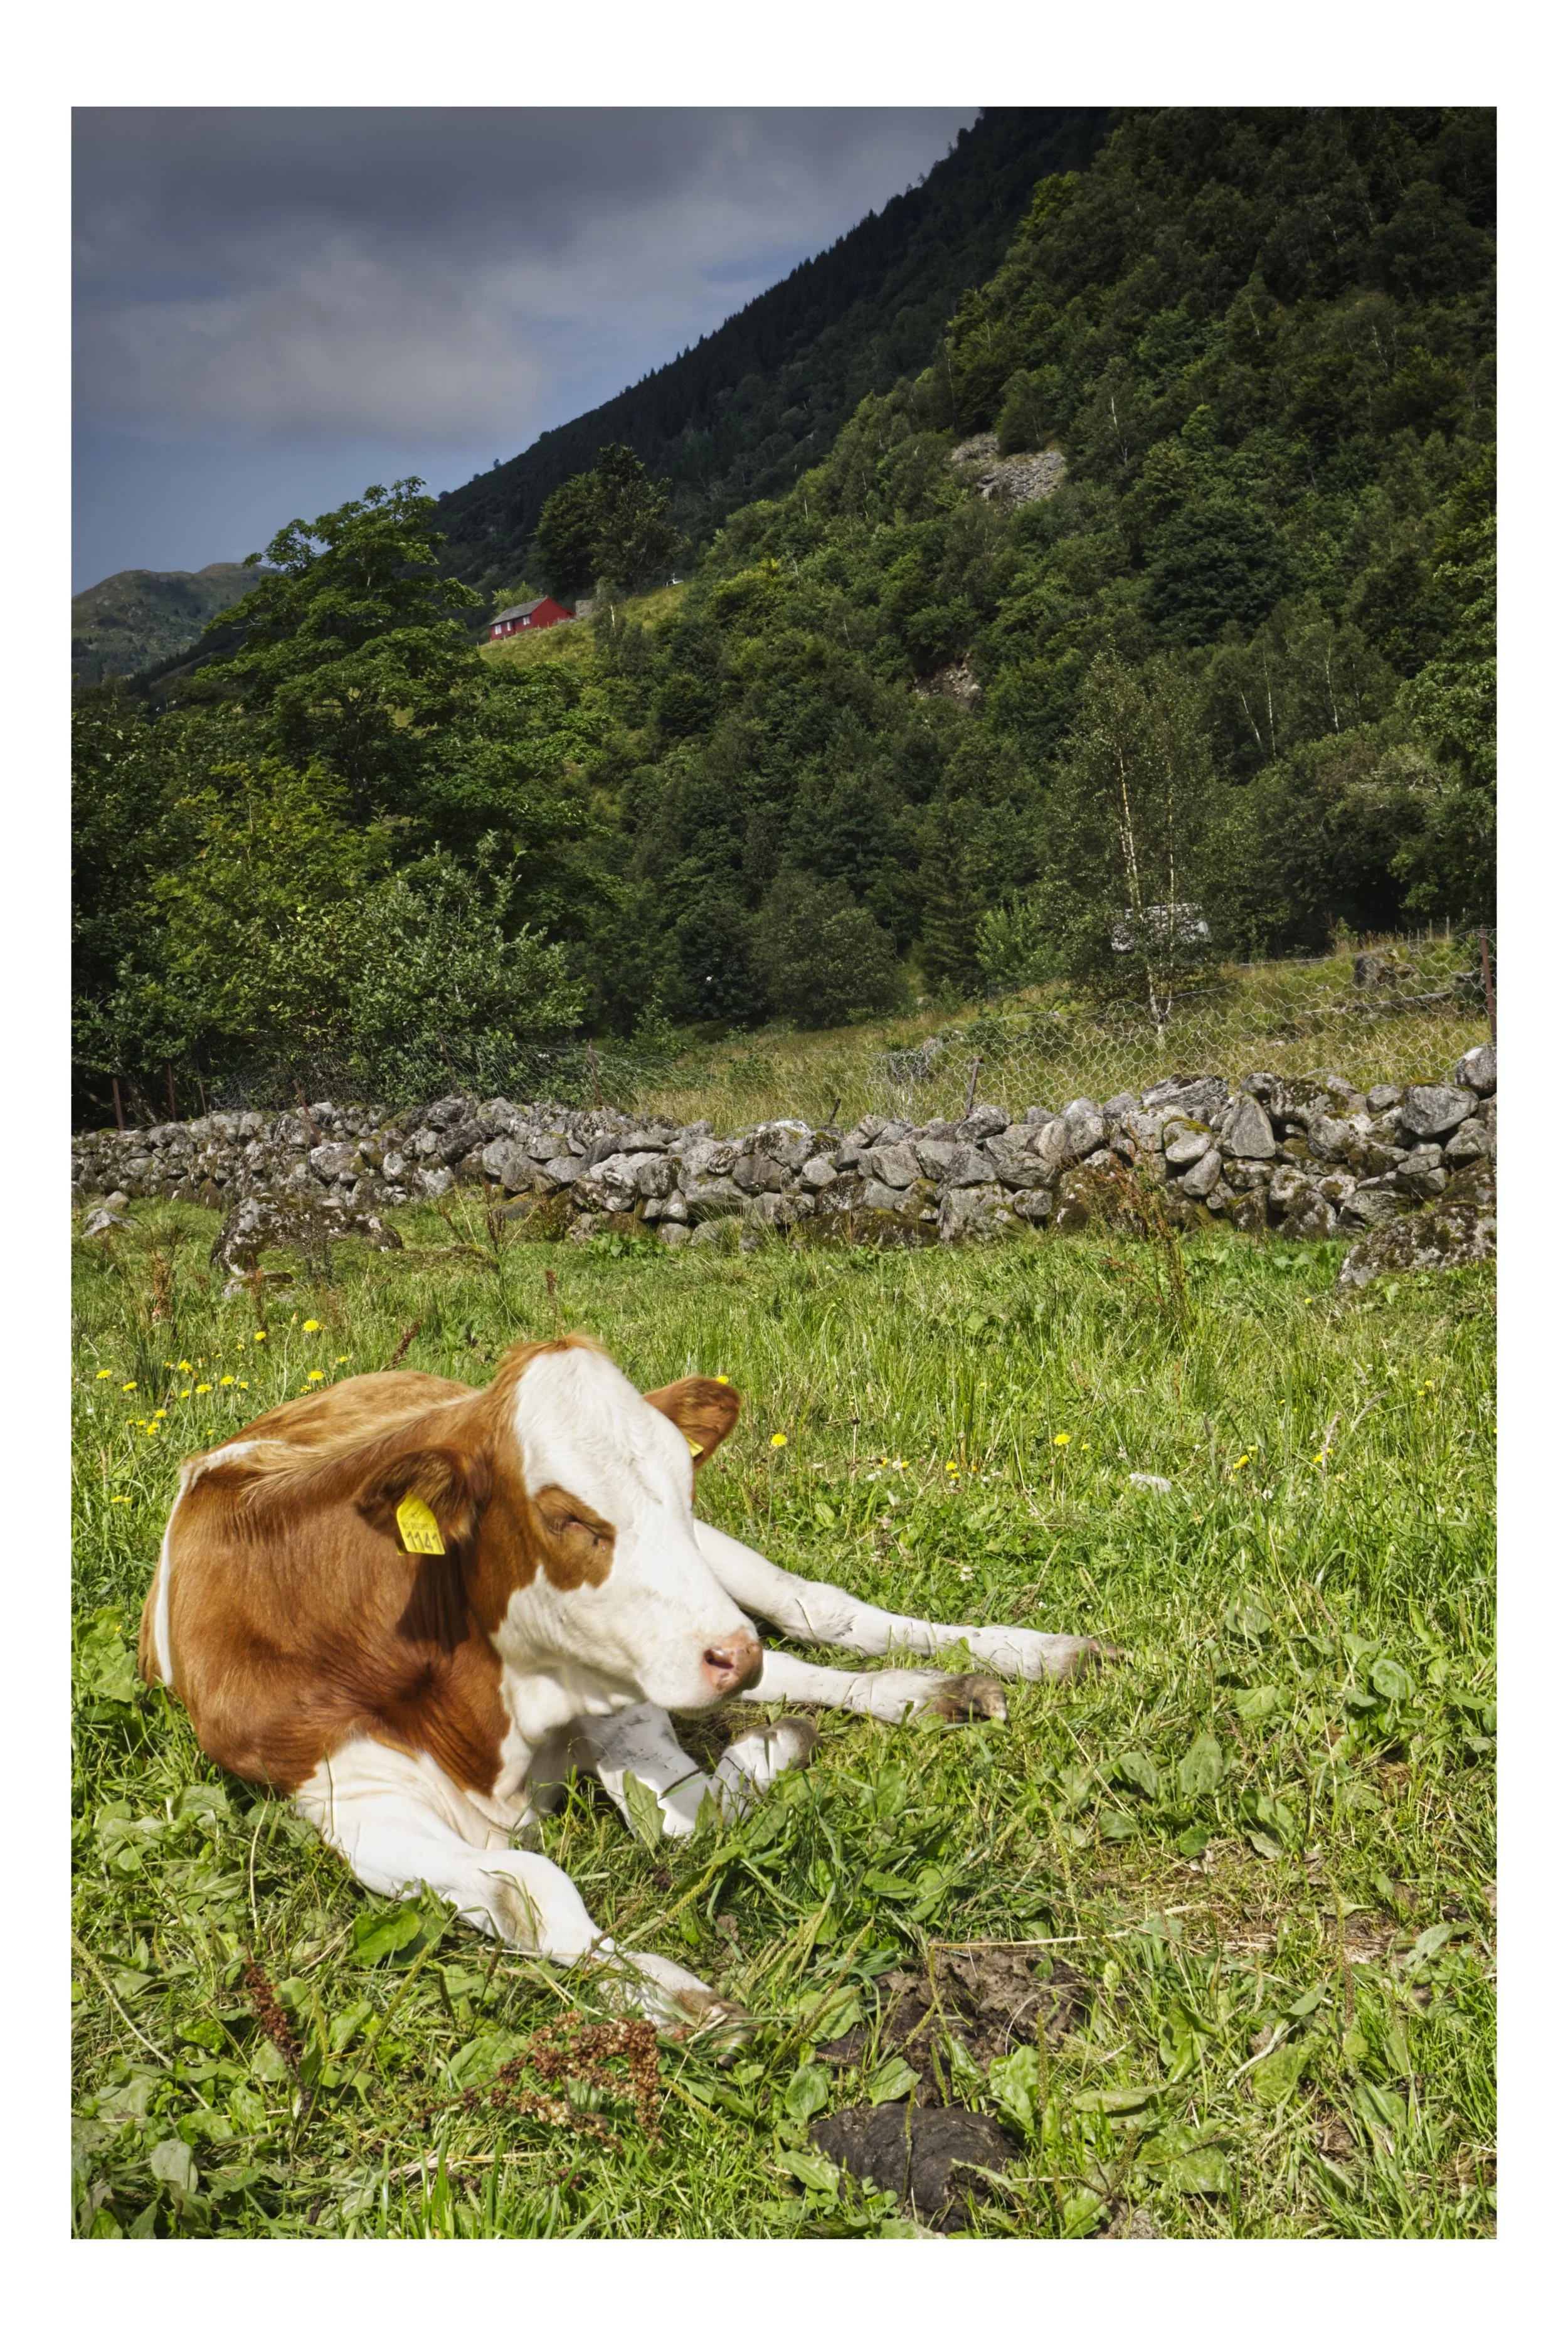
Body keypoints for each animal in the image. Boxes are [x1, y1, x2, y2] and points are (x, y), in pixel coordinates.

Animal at [140, 1335, 1105, 2035]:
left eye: (683, 1485)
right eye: (568, 1516)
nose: (730, 1654)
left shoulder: (627, 1688)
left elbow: (689, 1814)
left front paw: (770, 1753)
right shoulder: (349, 1797)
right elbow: (528, 1889)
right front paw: (664, 1994)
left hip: (712, 1584)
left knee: (816, 1613)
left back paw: (1018, 1656)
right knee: (790, 1661)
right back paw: (920, 1694)